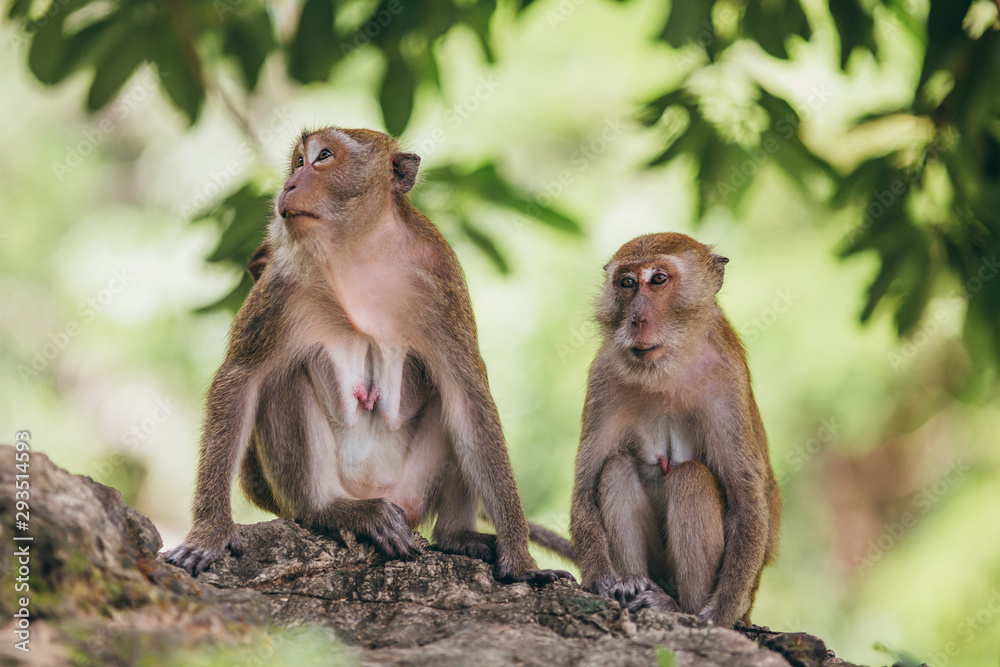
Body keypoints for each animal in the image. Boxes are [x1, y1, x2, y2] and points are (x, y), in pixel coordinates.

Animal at [163, 128, 572, 580]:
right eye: (299, 161)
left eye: (323, 156)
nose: (290, 184)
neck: (356, 252)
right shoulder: (281, 282)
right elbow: (241, 378)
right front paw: (210, 533)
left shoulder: (440, 278)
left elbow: (469, 397)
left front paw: (521, 563)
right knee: (284, 380)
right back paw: (335, 510)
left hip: (411, 491)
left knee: (451, 406)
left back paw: (455, 535)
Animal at [572, 232, 780, 628]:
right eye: (627, 283)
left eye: (658, 279)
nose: (637, 318)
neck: (666, 371)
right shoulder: (603, 376)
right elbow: (585, 487)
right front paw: (602, 580)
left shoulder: (726, 379)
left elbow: (746, 502)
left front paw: (716, 615)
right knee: (616, 467)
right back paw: (633, 583)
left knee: (692, 478)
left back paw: (679, 608)